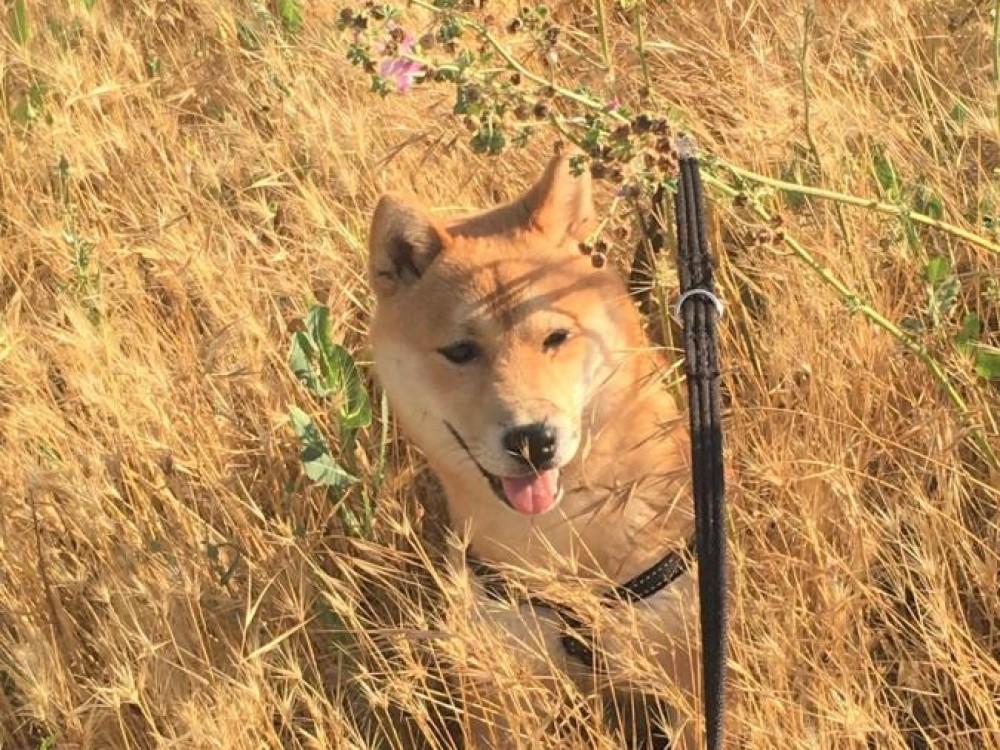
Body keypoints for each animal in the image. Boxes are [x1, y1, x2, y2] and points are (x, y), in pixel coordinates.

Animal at [368, 151, 700, 749]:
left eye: (556, 338)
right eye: (460, 351)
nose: (532, 440)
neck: (559, 537)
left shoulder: (685, 668)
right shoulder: (506, 688)